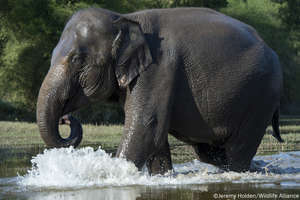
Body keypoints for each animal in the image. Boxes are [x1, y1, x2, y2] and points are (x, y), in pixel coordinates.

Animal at [36, 7, 282, 174]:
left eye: (77, 60)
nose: (65, 119)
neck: (124, 18)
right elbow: (155, 134)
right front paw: (161, 176)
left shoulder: (159, 67)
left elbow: (146, 127)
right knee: (210, 152)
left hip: (262, 96)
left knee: (237, 149)